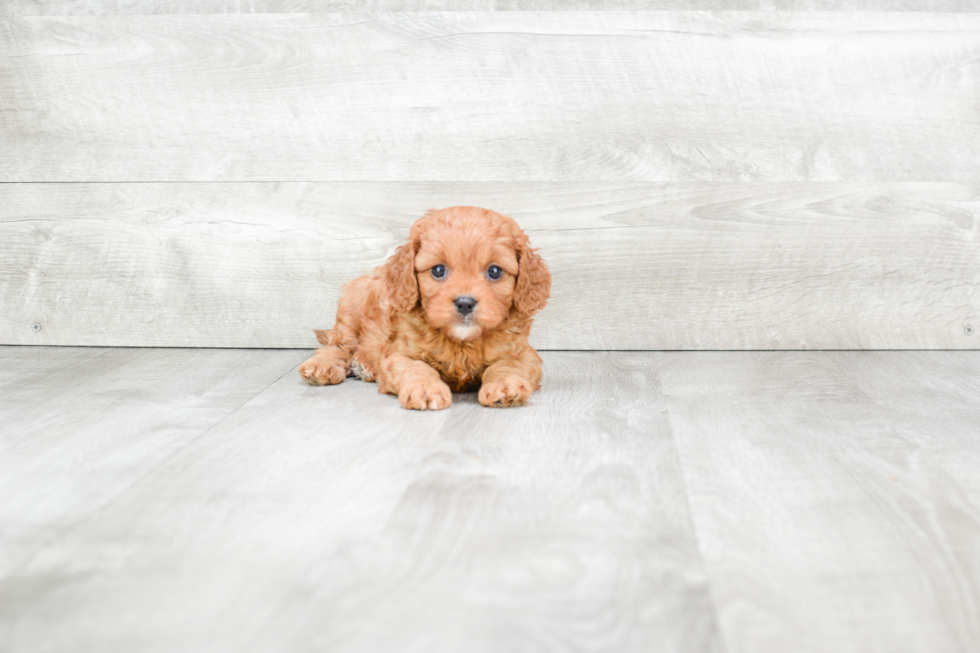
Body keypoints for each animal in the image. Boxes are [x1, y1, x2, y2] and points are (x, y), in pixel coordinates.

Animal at [298, 205, 552, 408]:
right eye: (438, 270)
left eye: (495, 271)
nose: (465, 303)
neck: (462, 343)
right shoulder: (400, 354)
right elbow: (417, 368)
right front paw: (425, 390)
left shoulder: (523, 355)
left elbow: (507, 366)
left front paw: (505, 386)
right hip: (354, 305)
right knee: (338, 345)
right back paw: (323, 367)